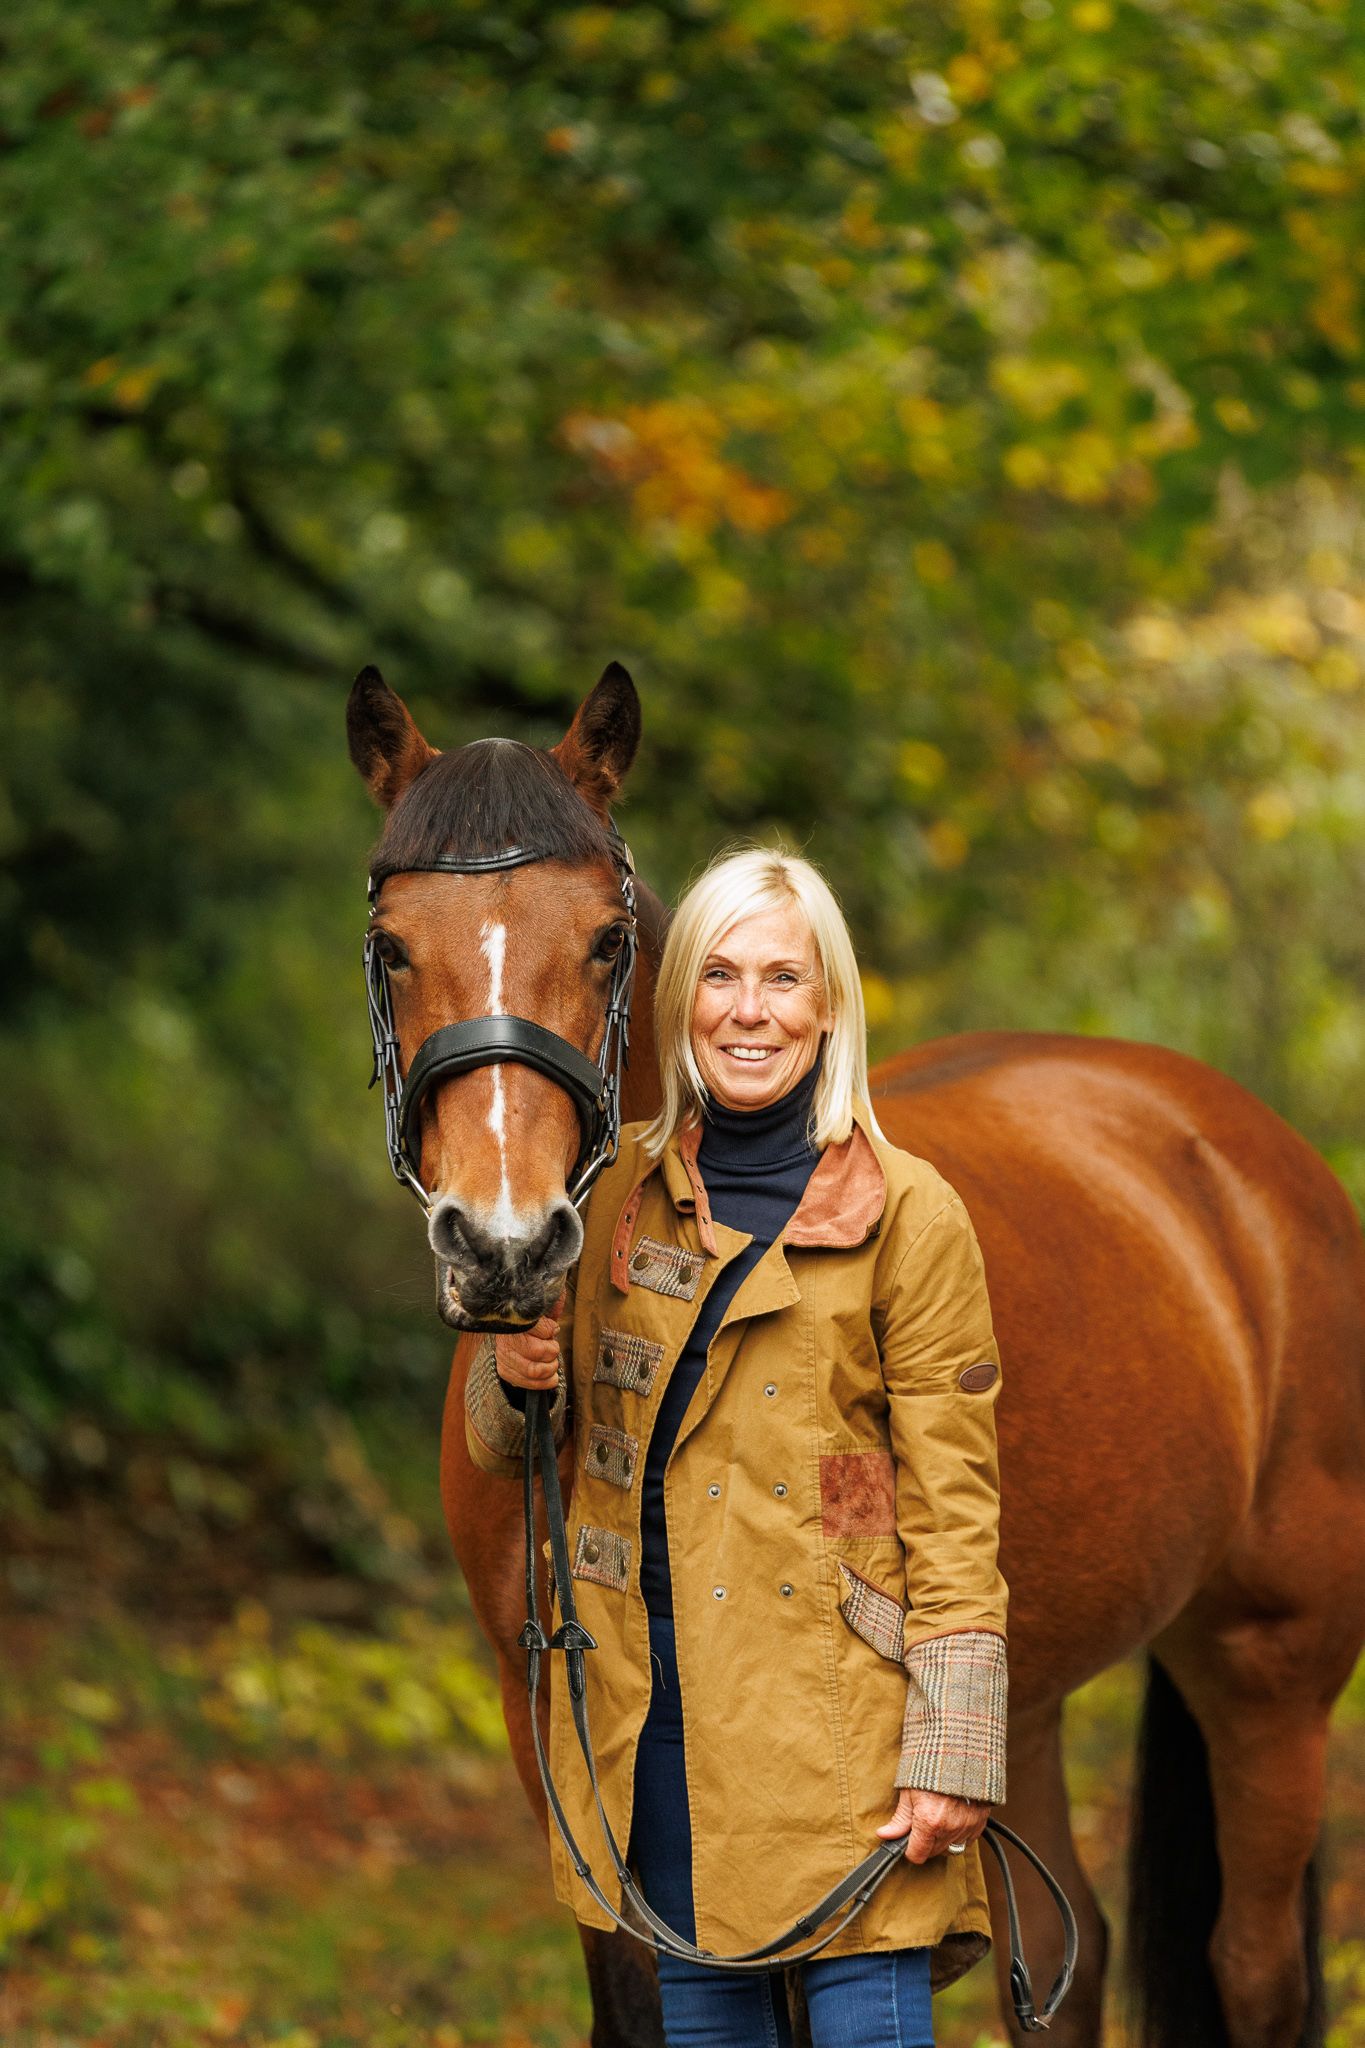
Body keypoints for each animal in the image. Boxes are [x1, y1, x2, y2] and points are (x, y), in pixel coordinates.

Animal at [348, 660, 1365, 2048]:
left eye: (606, 941)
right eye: (395, 945)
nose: (504, 1245)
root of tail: (1251, 1158)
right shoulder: (555, 1735)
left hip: (1267, 1664)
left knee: (1252, 1970)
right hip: (1012, 1695)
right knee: (1068, 1948)